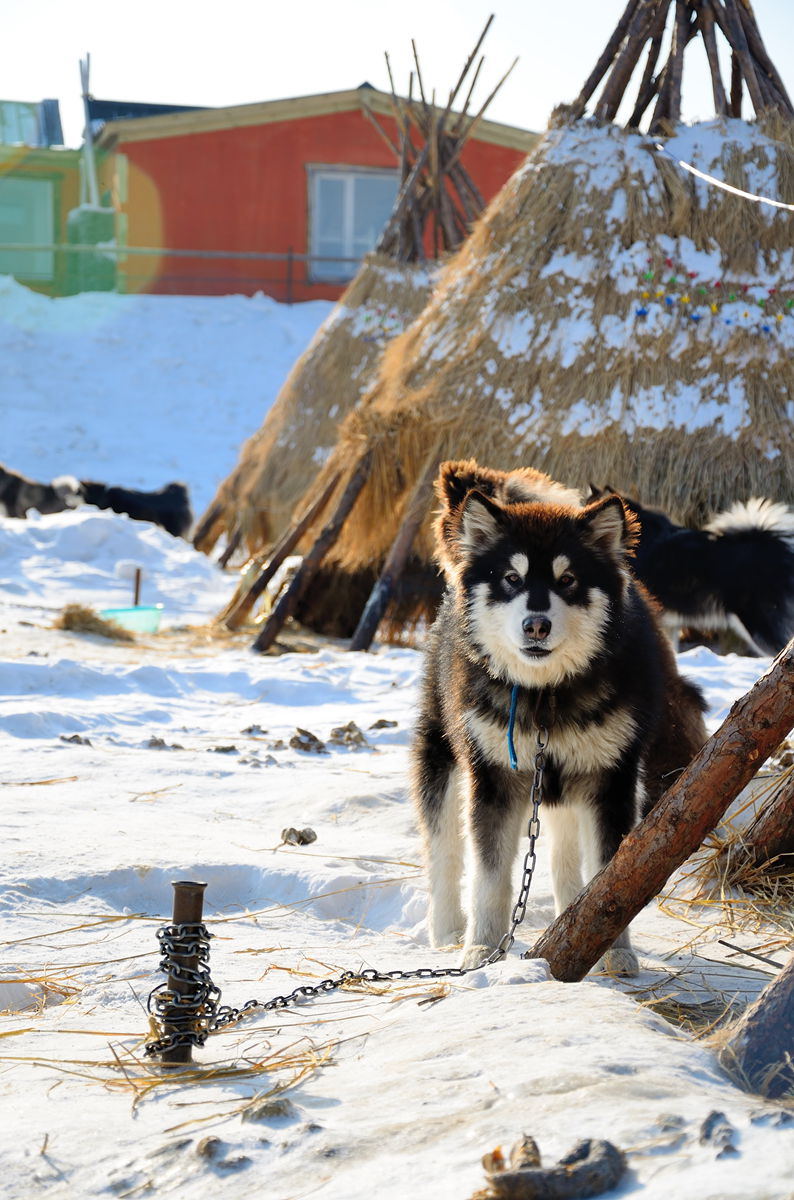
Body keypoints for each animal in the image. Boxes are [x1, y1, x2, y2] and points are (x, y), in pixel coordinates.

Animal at [412, 458, 705, 974]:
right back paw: (446, 930)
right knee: (444, 849)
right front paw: (481, 951)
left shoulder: (610, 780)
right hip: (443, 751)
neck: (545, 695)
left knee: (567, 859)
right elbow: (489, 878)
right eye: (512, 578)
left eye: (567, 580)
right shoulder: (495, 780)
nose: (536, 625)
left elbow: (608, 878)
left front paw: (612, 949)